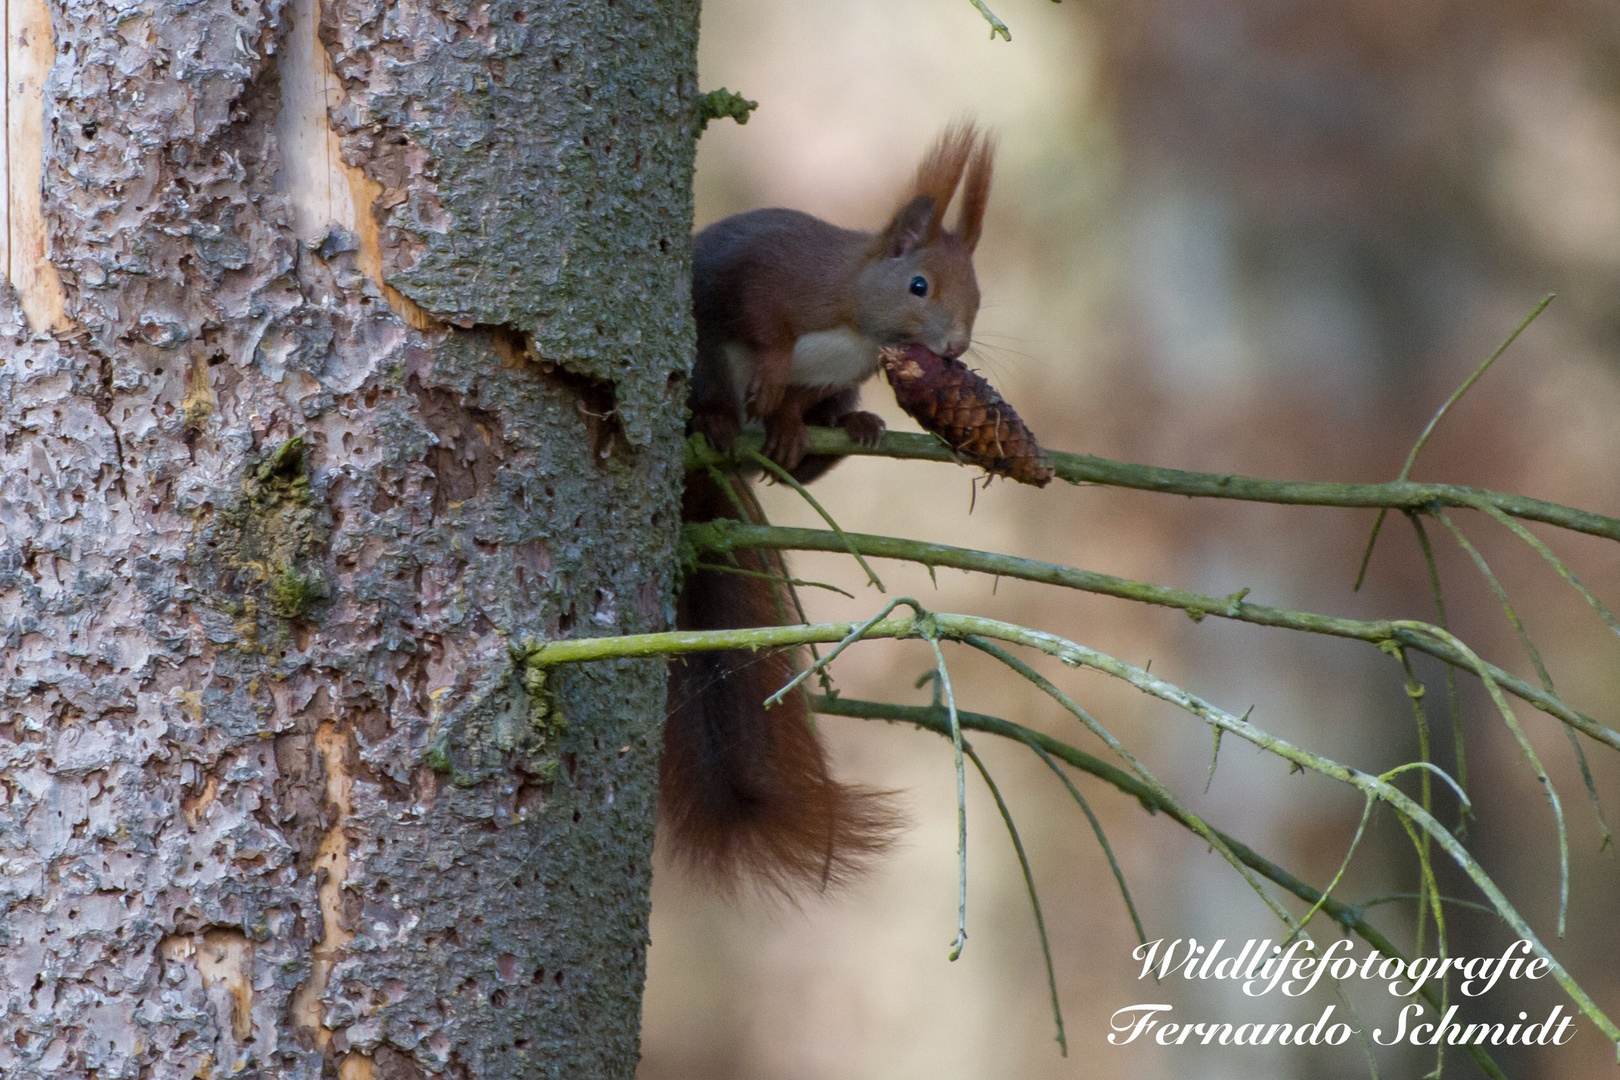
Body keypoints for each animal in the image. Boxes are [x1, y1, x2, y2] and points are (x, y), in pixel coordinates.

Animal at [660, 122, 991, 893]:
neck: (856, 324)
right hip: (702, 361)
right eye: (919, 284)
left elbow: (795, 401)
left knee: (810, 438)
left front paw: (791, 426)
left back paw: (845, 430)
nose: (956, 346)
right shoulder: (767, 279)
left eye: (979, 292)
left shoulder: (837, 376)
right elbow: (766, 331)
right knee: (713, 396)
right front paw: (772, 375)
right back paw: (719, 423)